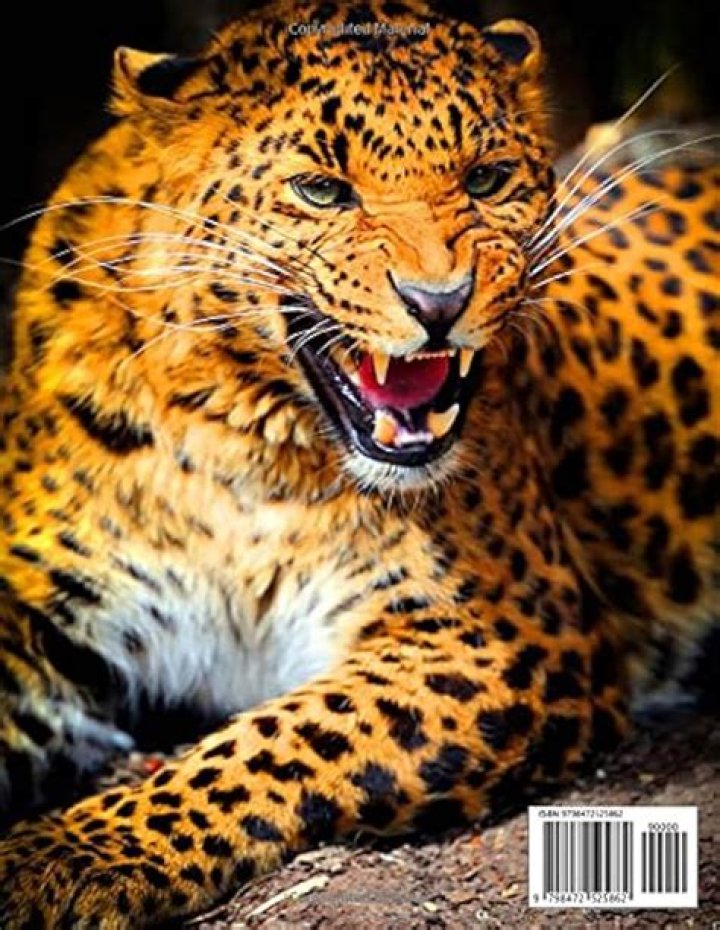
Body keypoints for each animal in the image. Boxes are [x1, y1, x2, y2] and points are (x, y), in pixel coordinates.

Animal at [0, 0, 717, 926]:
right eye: (321, 190)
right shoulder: (48, 609)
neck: (249, 451)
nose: (439, 302)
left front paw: (66, 856)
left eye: (486, 180)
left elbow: (276, 741)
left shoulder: (499, 634)